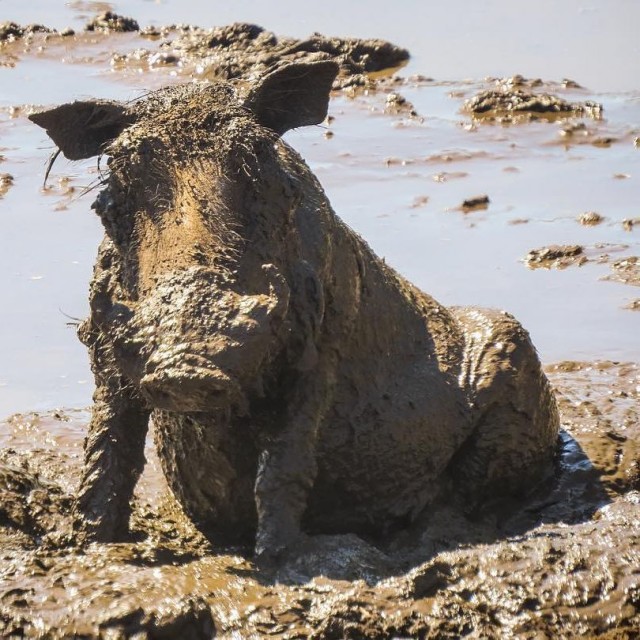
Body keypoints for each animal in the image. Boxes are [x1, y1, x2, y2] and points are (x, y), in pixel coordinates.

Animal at [31, 58, 560, 560]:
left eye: (259, 160)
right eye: (116, 182)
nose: (189, 368)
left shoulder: (320, 349)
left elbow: (285, 462)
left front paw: (277, 558)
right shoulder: (105, 351)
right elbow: (108, 452)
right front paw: (88, 544)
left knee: (468, 502)